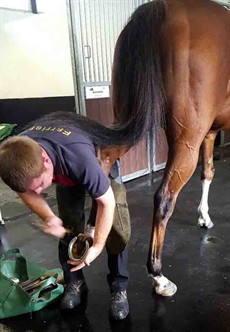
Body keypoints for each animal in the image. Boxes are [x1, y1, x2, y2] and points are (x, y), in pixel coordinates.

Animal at [108, 0, 230, 296]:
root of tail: (158, 10)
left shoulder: (209, 134)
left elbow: (208, 173)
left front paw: (204, 217)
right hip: (185, 141)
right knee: (164, 198)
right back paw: (158, 276)